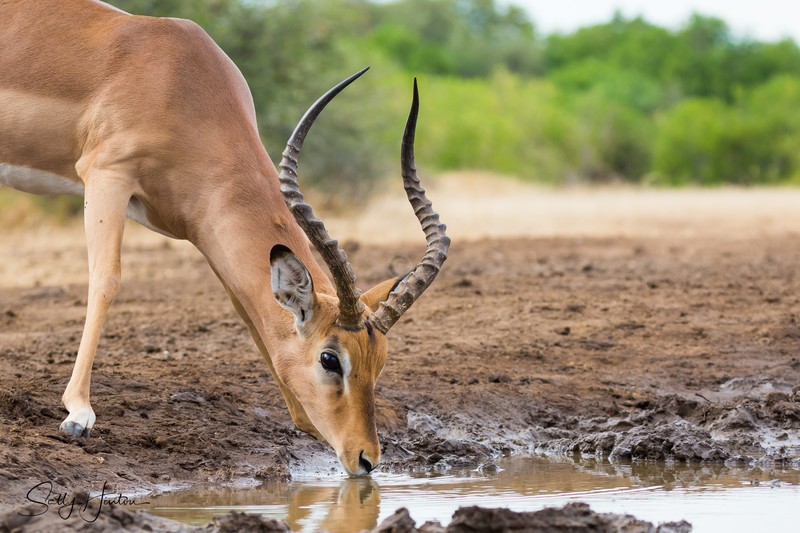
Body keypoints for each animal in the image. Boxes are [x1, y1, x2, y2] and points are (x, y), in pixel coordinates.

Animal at [0, 0, 449, 476]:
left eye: (380, 359)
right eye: (330, 358)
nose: (366, 458)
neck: (180, 83)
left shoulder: (207, 234)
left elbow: (248, 311)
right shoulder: (106, 175)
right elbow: (106, 280)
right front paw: (78, 413)